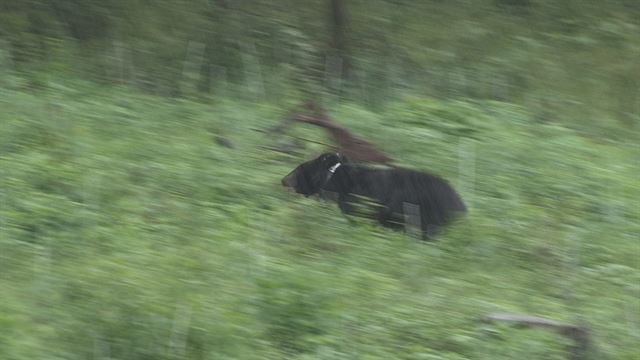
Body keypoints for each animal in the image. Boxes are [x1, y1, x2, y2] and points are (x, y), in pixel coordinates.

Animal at [282, 153, 468, 239]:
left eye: (300, 167)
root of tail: (460, 204)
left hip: (428, 214)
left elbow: (356, 217)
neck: (333, 179)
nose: (283, 180)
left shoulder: (355, 200)